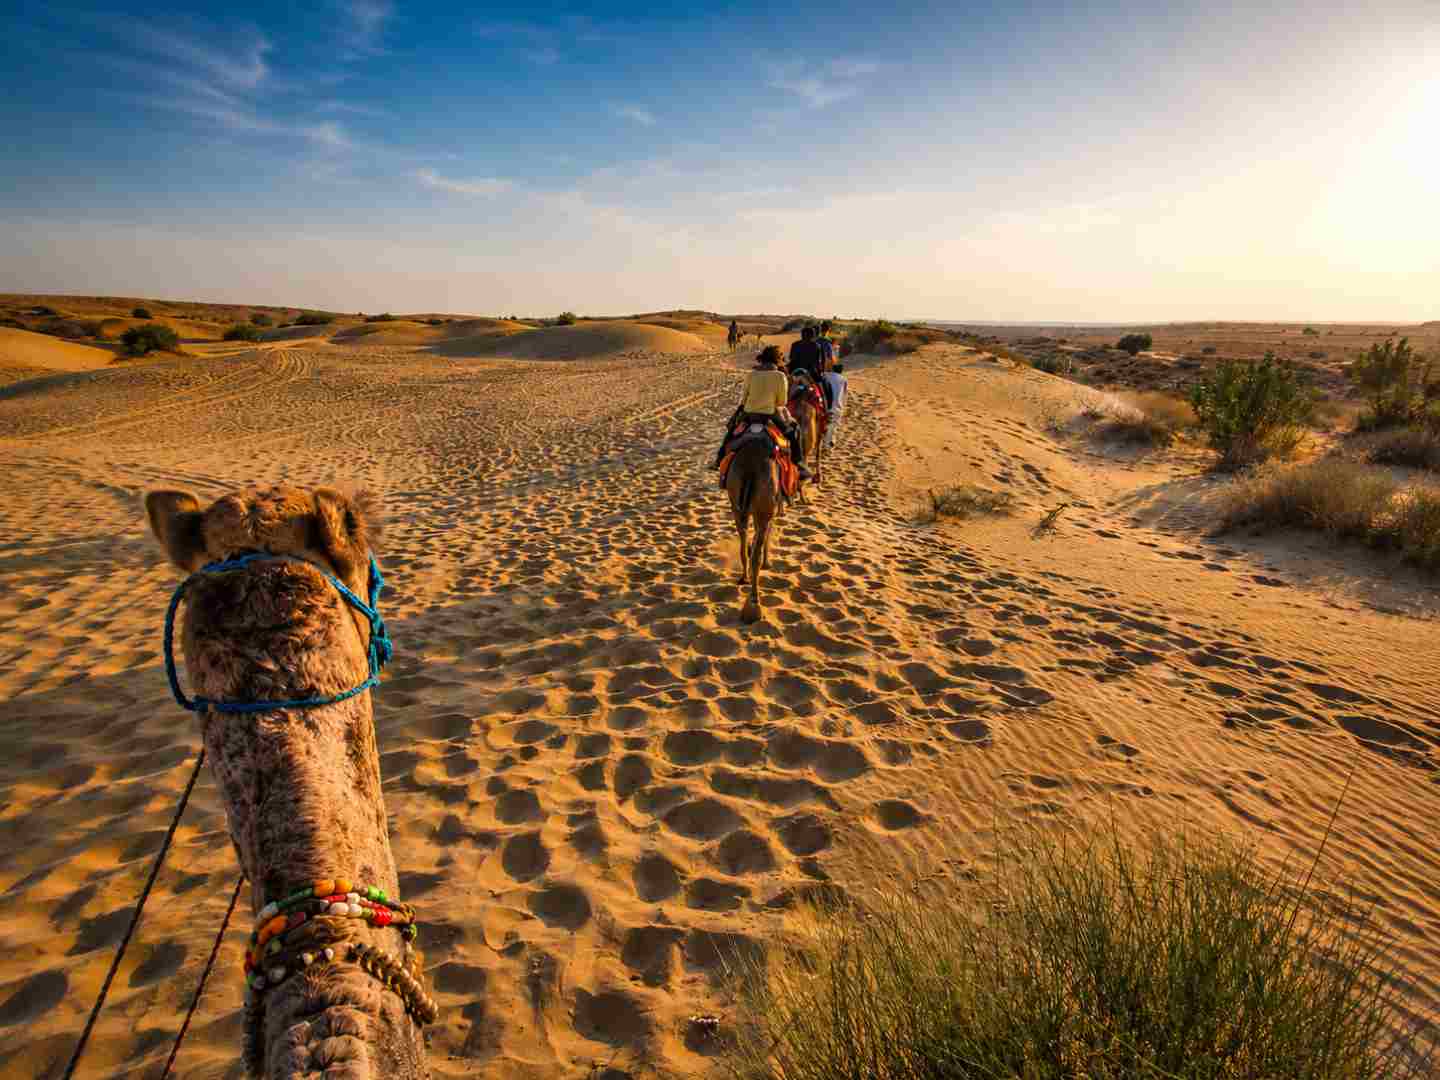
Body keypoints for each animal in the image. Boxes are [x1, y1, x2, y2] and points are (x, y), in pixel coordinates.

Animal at [724, 439, 782, 623]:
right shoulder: (770, 508)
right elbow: (766, 535)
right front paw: (767, 563)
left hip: (735, 501)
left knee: (743, 541)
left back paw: (744, 578)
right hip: (765, 504)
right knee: (756, 551)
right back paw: (754, 604)